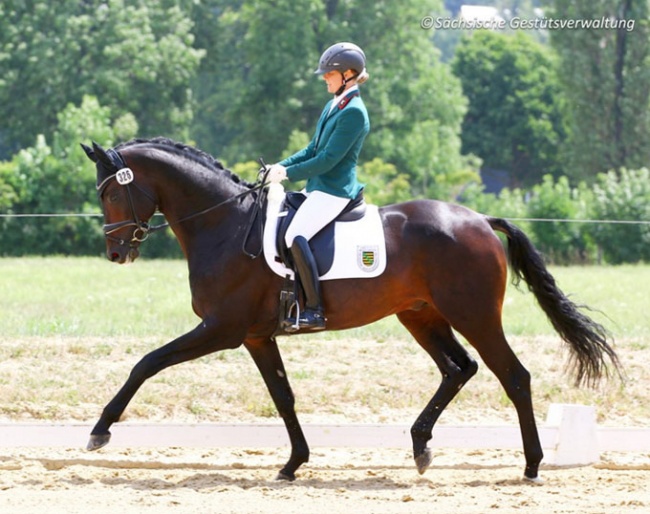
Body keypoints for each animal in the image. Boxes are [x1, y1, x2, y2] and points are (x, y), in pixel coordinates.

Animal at [79, 136, 616, 480]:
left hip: (475, 315)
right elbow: (283, 396)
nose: (116, 252)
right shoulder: (256, 335)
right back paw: (421, 446)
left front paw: (100, 431)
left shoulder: (222, 329)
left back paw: (532, 464)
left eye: (110, 192)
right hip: (420, 315)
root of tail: (480, 219)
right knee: (458, 369)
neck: (225, 224)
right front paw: (293, 463)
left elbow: (147, 363)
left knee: (514, 376)